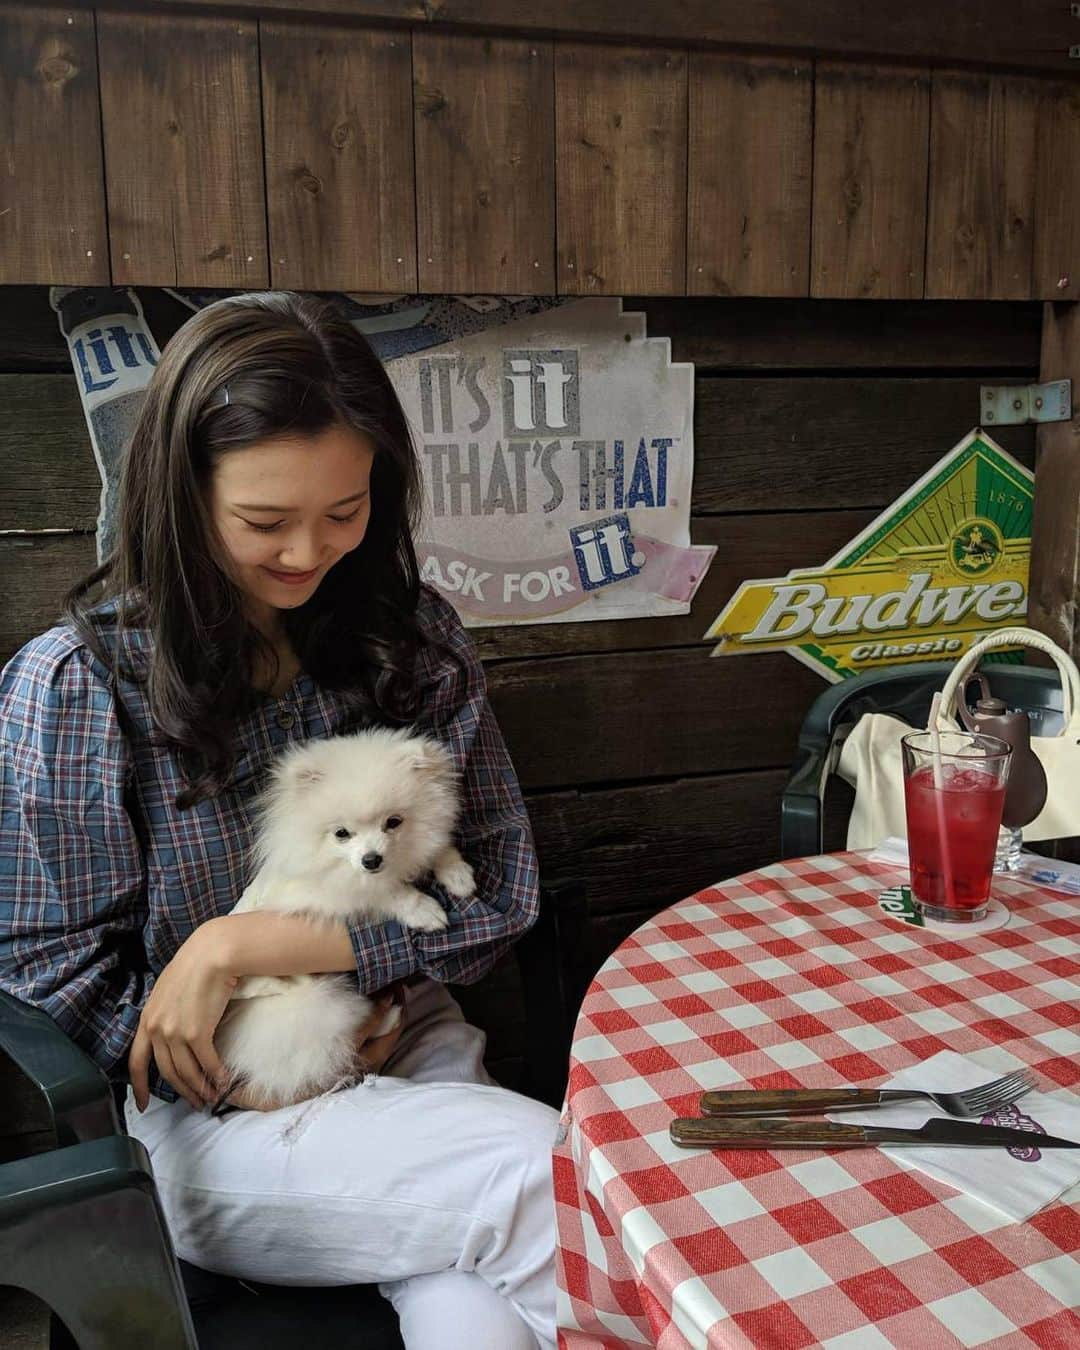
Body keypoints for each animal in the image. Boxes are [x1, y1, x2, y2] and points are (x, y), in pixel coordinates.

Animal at [213, 729, 475, 1107]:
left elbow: (435, 848)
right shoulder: (325, 892)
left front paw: (457, 874)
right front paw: (423, 910)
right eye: (341, 833)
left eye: (393, 822)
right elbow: (386, 893)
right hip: (313, 1004)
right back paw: (389, 1015)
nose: (372, 859)